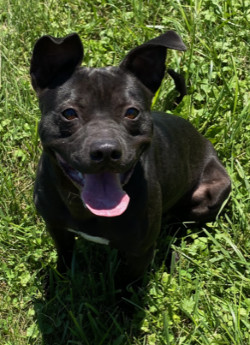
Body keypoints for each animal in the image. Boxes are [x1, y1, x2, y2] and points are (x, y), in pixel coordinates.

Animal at [29, 30, 230, 284]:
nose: (106, 150)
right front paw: (59, 281)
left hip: (211, 192)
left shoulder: (139, 253)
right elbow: (64, 255)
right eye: (69, 113)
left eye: (132, 112)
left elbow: (127, 284)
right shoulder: (57, 228)